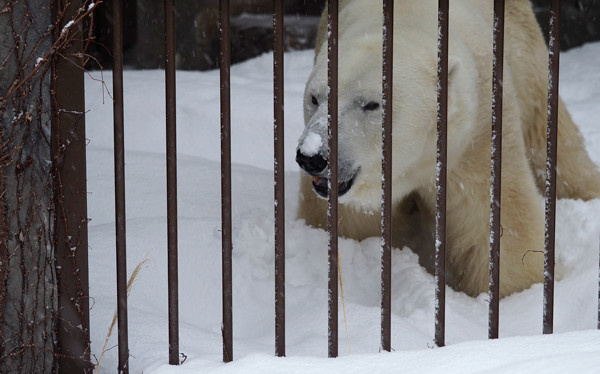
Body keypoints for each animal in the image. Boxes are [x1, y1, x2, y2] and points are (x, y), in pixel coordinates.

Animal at [296, 0, 600, 298]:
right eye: (315, 98)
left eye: (371, 104)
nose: (312, 157)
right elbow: (354, 223)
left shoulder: (477, 135)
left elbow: (495, 221)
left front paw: (517, 292)